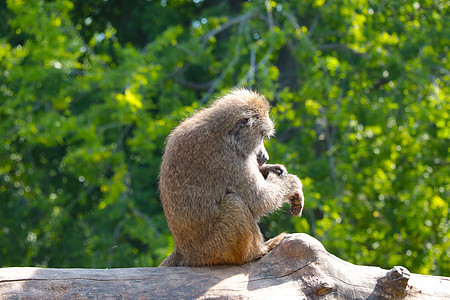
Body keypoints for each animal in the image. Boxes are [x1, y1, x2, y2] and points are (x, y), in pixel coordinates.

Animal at [160, 88, 304, 266]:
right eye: (261, 134)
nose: (265, 157)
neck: (224, 133)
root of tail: (183, 250)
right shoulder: (229, 159)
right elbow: (259, 200)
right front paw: (293, 182)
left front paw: (272, 169)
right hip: (214, 249)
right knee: (234, 202)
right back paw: (258, 251)